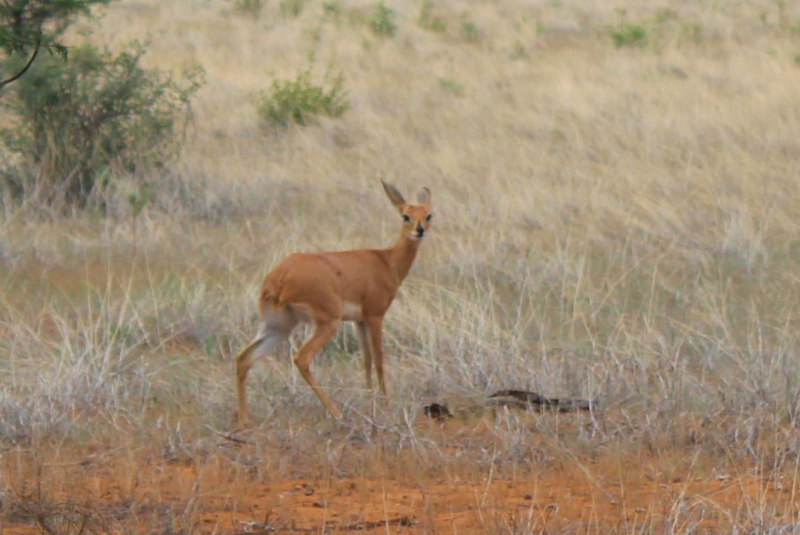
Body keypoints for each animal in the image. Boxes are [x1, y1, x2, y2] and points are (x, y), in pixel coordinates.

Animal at [236, 182, 432, 426]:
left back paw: (244, 420)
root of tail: (280, 276)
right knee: (301, 358)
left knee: (243, 358)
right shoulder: (375, 317)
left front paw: (371, 406)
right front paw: (386, 408)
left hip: (278, 327)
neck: (387, 261)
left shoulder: (359, 321)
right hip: (328, 323)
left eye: (428, 215)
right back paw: (337, 413)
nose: (420, 230)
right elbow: (379, 360)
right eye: (406, 215)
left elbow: (366, 361)